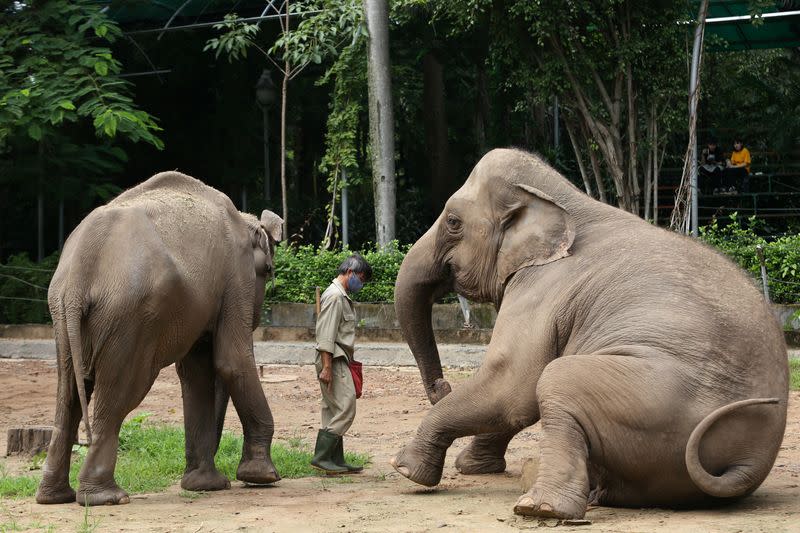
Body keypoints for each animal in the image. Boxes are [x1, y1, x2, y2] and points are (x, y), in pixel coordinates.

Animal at [36, 171, 284, 508]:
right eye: (268, 270)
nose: (227, 477)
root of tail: (77, 279)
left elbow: (196, 372)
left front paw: (204, 486)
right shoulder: (236, 277)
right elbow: (231, 361)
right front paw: (263, 478)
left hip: (62, 315)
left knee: (70, 392)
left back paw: (55, 497)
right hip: (128, 319)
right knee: (119, 393)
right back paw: (107, 497)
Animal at [390, 149, 792, 520]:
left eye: (453, 222)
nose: (441, 387)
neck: (565, 199)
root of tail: (753, 459)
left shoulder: (541, 287)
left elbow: (511, 386)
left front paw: (407, 469)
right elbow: (512, 398)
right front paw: (472, 466)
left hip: (649, 399)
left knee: (556, 379)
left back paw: (538, 508)